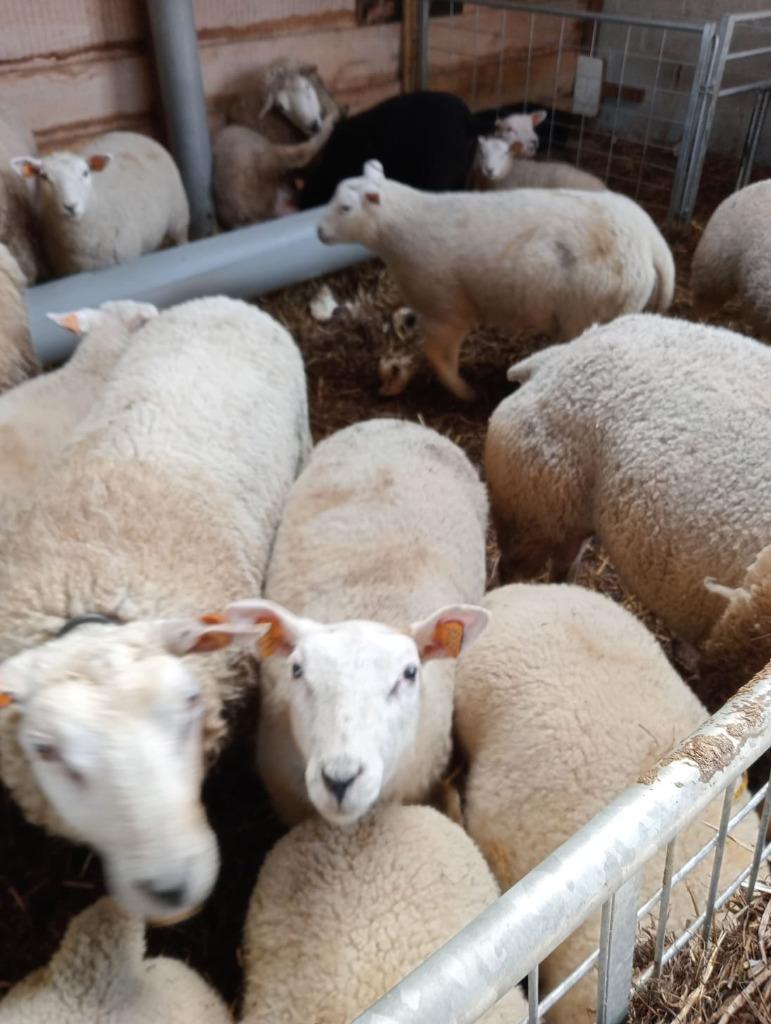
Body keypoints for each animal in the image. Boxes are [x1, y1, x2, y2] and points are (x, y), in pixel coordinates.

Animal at [12, 131, 190, 277]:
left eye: (85, 172)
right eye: (43, 177)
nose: (70, 206)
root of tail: (131, 133)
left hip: (178, 214)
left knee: (181, 236)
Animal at [318, 160, 674, 400]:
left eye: (345, 208)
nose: (318, 232)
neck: (399, 232)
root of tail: (651, 241)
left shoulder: (447, 309)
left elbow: (439, 356)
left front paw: (465, 393)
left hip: (594, 311)